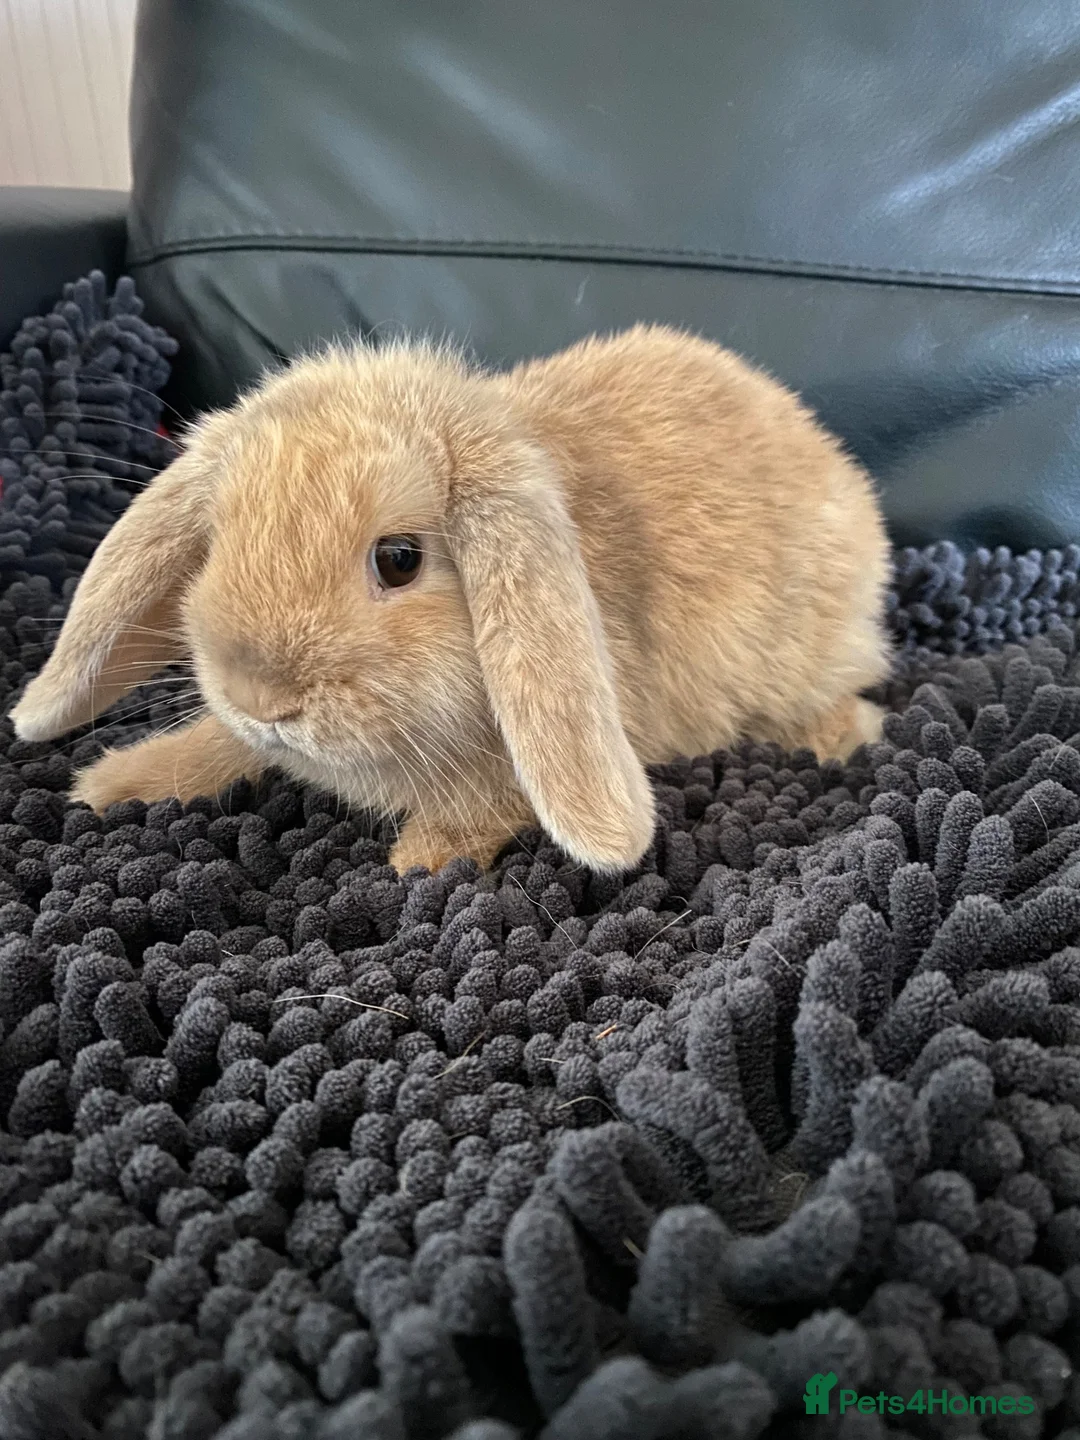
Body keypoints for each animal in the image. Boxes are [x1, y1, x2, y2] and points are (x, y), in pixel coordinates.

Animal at [9, 324, 892, 877]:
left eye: (398, 560)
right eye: (217, 540)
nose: (260, 696)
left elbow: (484, 807)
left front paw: (420, 862)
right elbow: (217, 747)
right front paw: (112, 784)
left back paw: (841, 735)